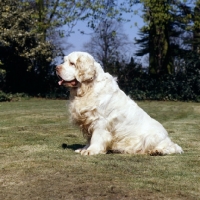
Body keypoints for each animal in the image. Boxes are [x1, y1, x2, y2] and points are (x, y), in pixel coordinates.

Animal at [55, 51, 184, 156]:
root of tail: (167, 137)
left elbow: (96, 137)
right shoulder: (88, 121)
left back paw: (158, 151)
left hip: (152, 138)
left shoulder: (100, 121)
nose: (56, 68)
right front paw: (84, 148)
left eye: (72, 63)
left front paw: (91, 150)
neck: (88, 88)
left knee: (173, 148)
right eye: (64, 61)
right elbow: (89, 138)